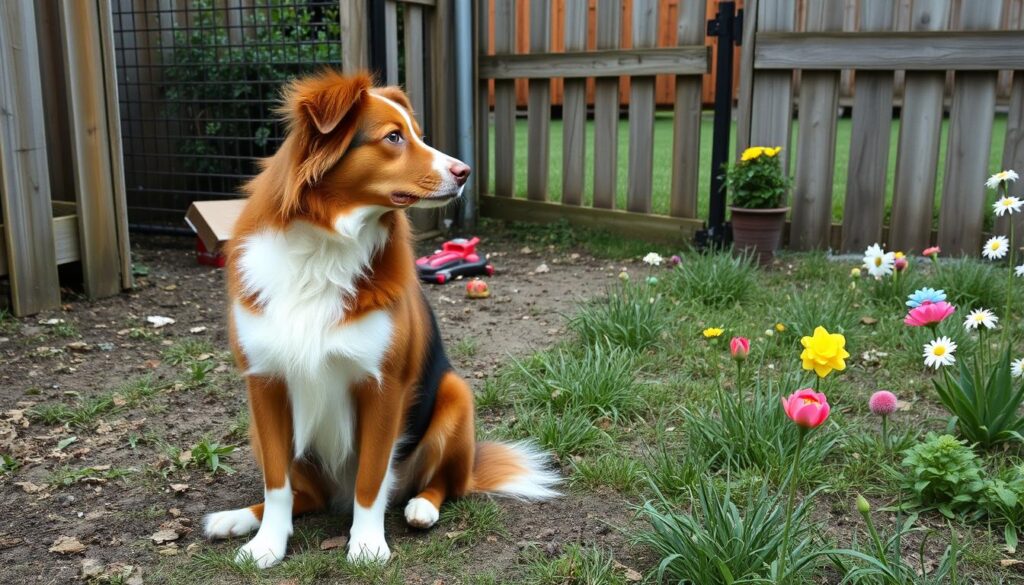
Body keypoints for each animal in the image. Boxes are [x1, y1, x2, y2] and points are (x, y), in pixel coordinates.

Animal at [201, 69, 561, 569]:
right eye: (394, 137)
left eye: (418, 135)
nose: (465, 172)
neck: (325, 248)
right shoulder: (264, 384)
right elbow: (277, 485)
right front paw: (266, 544)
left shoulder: (383, 386)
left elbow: (371, 479)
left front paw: (368, 545)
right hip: (262, 431)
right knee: (305, 496)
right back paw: (236, 519)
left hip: (456, 394)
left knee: (446, 484)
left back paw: (422, 506)